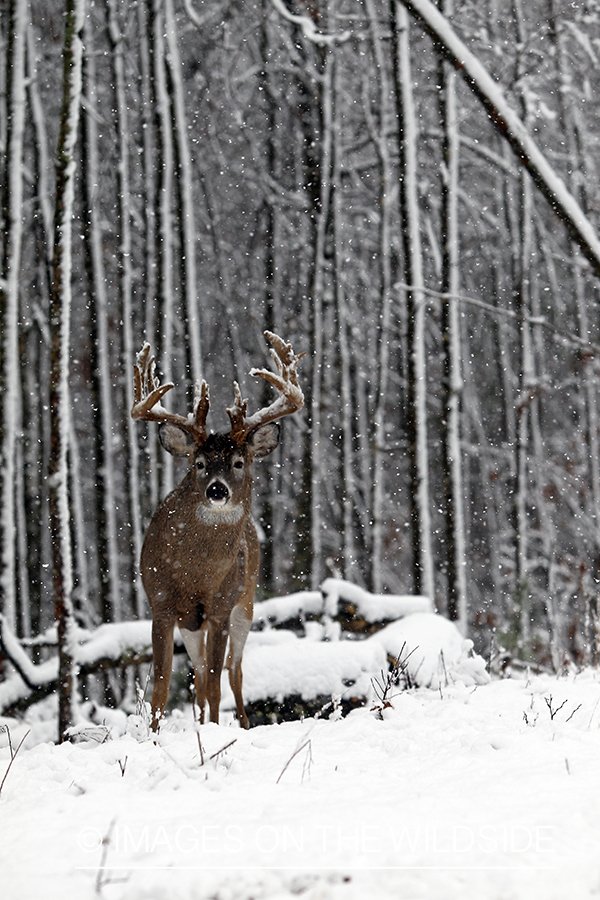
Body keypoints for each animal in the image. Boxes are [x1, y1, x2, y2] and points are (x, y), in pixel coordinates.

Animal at [133, 330, 304, 732]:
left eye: (239, 462)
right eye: (198, 462)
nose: (216, 490)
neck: (193, 573)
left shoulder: (221, 606)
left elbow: (215, 683)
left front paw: (212, 731)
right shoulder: (161, 605)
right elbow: (162, 686)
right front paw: (153, 736)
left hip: (246, 603)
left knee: (233, 672)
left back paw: (241, 724)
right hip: (192, 623)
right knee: (198, 675)